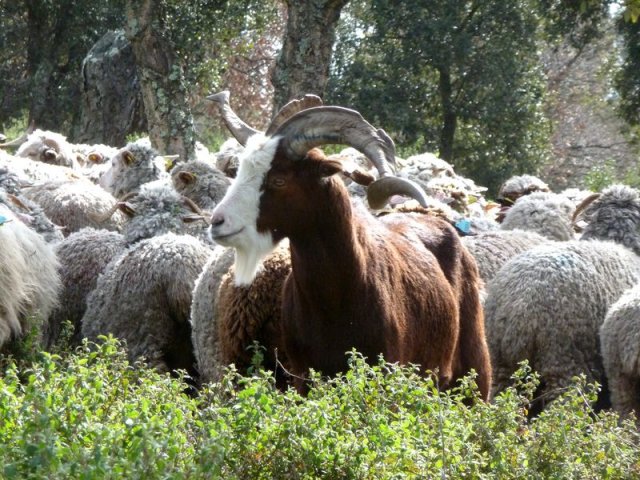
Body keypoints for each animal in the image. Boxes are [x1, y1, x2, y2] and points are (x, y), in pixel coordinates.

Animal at [207, 95, 492, 398]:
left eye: (278, 179)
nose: (217, 222)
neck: (337, 297)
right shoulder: (303, 378)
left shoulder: (385, 374)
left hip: (474, 379)